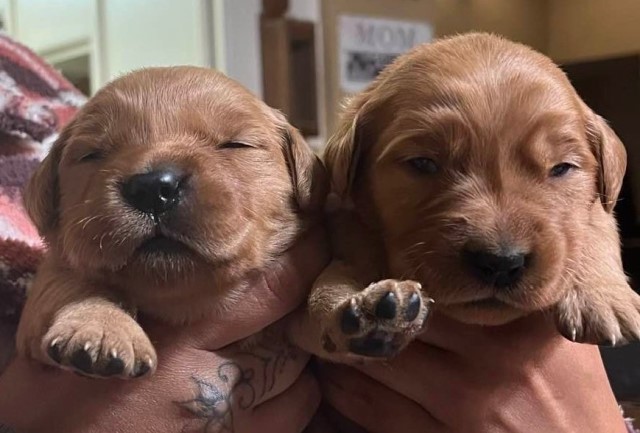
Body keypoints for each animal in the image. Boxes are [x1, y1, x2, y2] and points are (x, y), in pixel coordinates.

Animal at [17, 65, 328, 378]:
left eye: (236, 144)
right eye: (92, 154)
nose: (152, 188)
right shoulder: (45, 289)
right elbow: (77, 285)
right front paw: (102, 327)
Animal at [292, 32, 640, 360]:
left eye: (561, 168)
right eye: (423, 163)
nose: (501, 263)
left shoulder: (599, 208)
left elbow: (595, 227)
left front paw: (602, 296)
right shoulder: (347, 224)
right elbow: (328, 283)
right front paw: (363, 313)